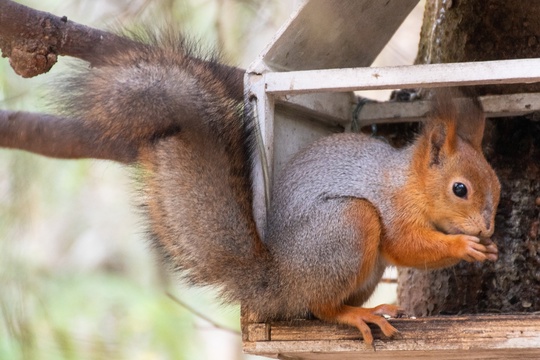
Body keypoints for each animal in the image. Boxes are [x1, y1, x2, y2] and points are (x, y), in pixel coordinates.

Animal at [0, 28, 500, 344]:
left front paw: (484, 246)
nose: (488, 227)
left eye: (495, 184)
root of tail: (276, 282)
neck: (409, 180)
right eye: (460, 189)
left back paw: (376, 309)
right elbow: (406, 245)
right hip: (348, 224)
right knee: (320, 307)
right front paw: (463, 247)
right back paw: (355, 314)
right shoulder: (392, 206)